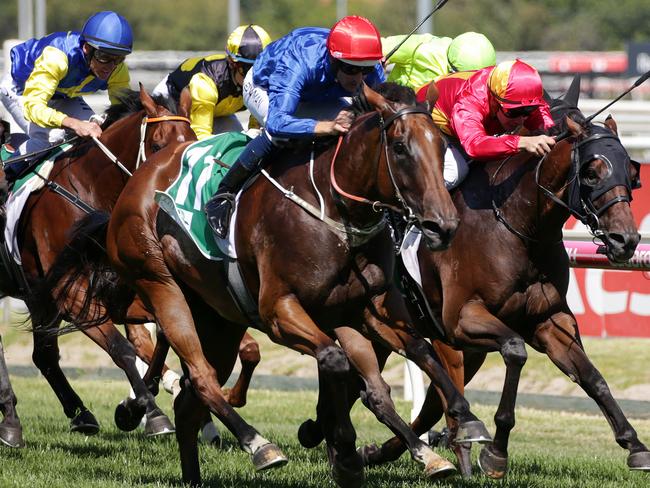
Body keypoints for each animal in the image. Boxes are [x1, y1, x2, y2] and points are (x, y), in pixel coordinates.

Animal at [0, 85, 194, 446]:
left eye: (192, 142)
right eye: (157, 146)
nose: (173, 204)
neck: (89, 193)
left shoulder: (123, 290)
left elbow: (159, 338)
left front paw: (144, 404)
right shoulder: (71, 295)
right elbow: (123, 349)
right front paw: (144, 409)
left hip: (37, 298)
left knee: (44, 356)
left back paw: (78, 415)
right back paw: (11, 420)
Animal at [71, 82, 494, 486]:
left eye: (441, 146)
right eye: (401, 147)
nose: (443, 225)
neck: (334, 211)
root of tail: (139, 179)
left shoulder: (367, 309)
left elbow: (419, 352)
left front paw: (464, 422)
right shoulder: (279, 310)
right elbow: (335, 361)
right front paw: (344, 453)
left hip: (218, 319)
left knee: (190, 402)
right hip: (161, 285)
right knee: (202, 377)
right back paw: (258, 445)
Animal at [354, 79, 648, 476]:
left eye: (631, 174)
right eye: (591, 172)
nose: (626, 240)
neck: (518, 225)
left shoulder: (548, 320)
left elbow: (593, 378)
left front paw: (635, 445)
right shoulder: (462, 319)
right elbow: (515, 351)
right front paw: (496, 452)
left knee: (424, 401)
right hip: (390, 326)